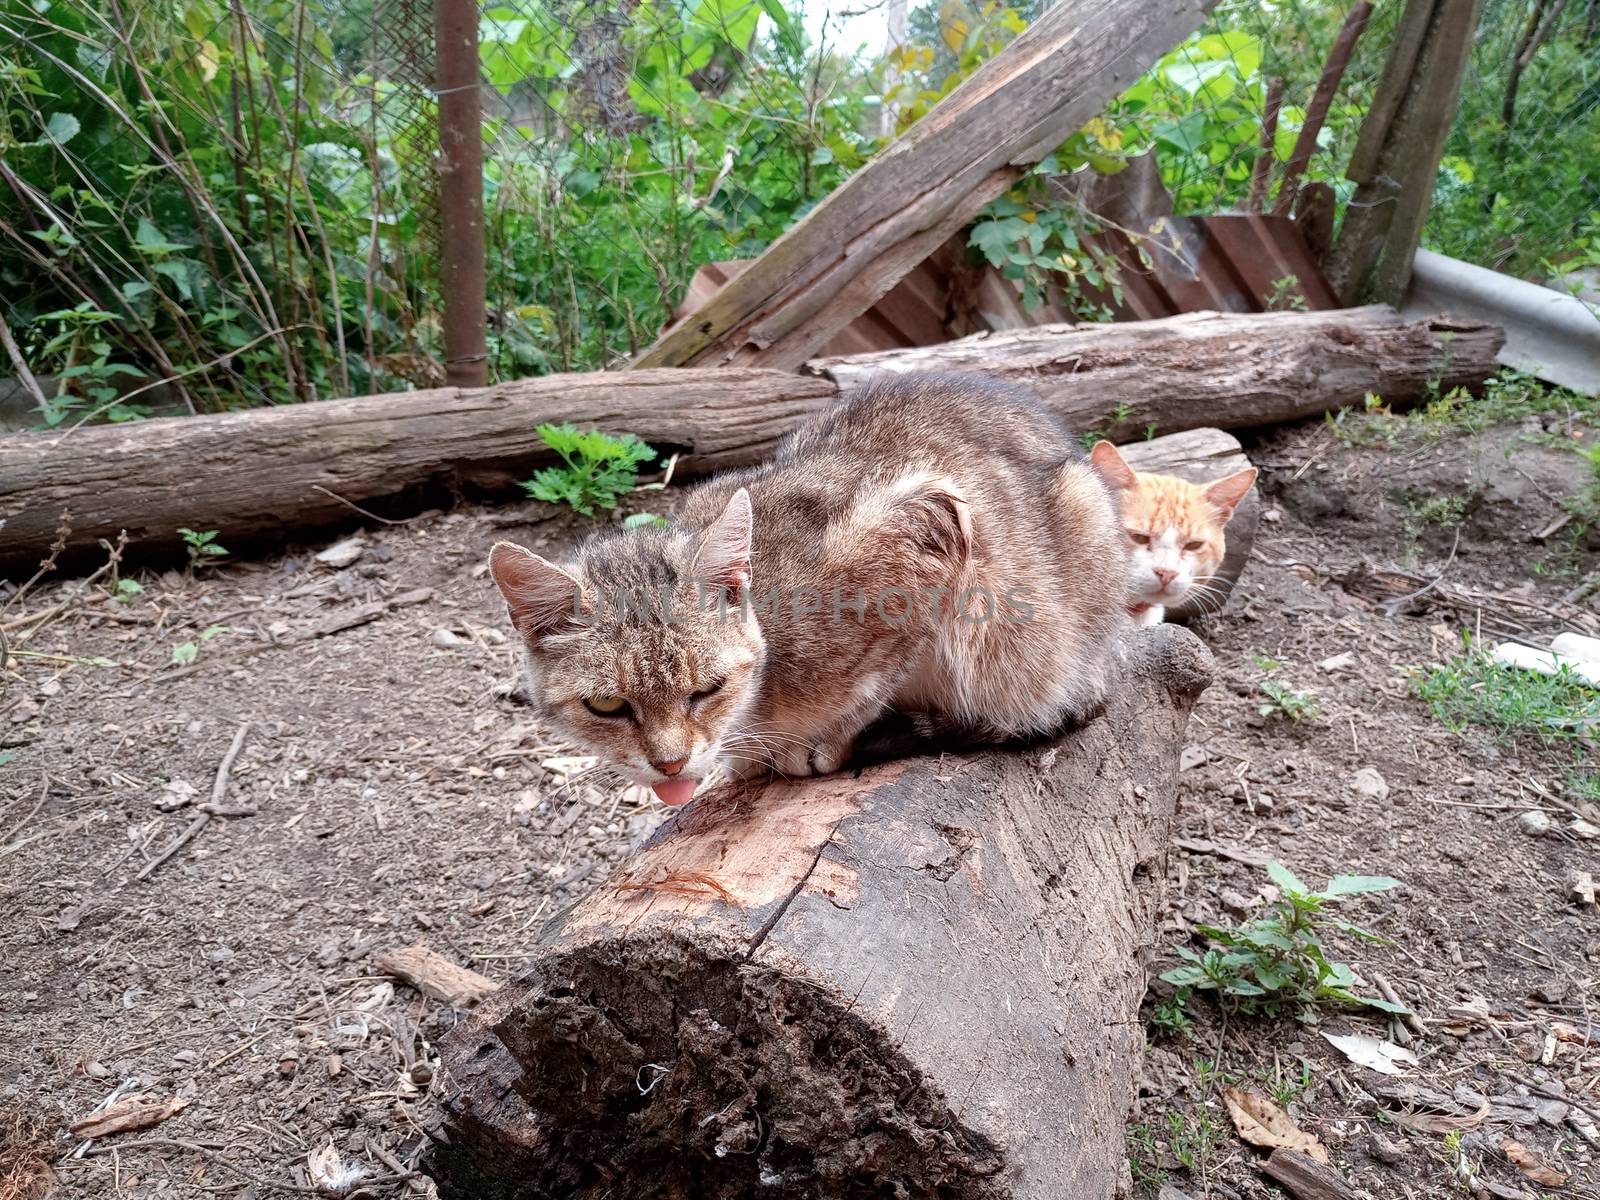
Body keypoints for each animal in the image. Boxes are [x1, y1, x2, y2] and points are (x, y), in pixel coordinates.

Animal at [486, 376, 1126, 809]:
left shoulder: (934, 537)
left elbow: (878, 680)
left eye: (707, 689)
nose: (670, 765)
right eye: (606, 707)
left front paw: (822, 742)